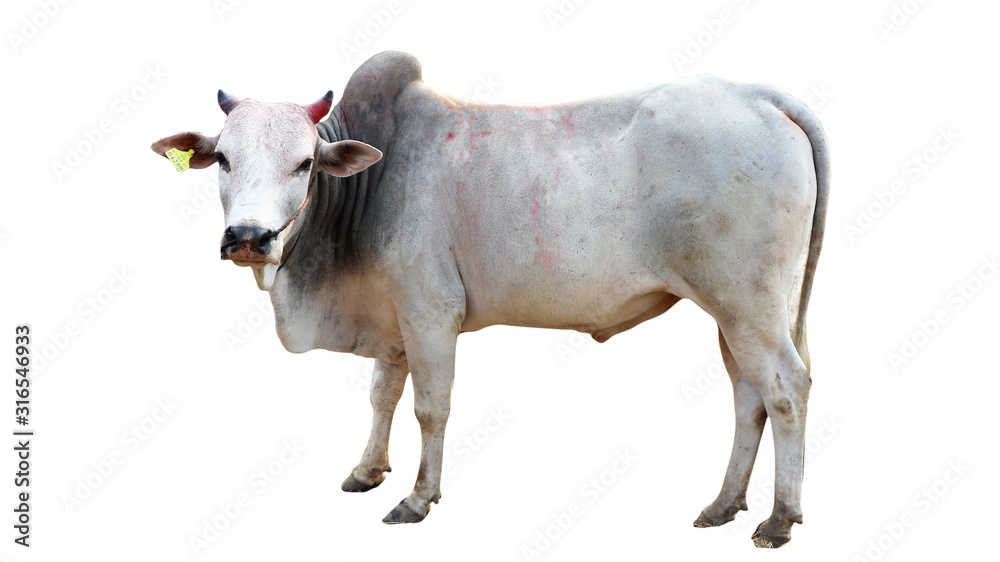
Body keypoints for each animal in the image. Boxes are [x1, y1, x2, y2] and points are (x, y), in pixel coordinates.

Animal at [152, 51, 829, 548]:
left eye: (303, 164)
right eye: (224, 159)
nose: (248, 237)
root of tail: (760, 95)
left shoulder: (430, 313)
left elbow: (430, 408)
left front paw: (417, 498)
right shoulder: (393, 320)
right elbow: (381, 396)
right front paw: (367, 471)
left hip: (748, 304)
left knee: (787, 388)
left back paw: (778, 518)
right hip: (736, 313)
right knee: (748, 395)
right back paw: (723, 504)